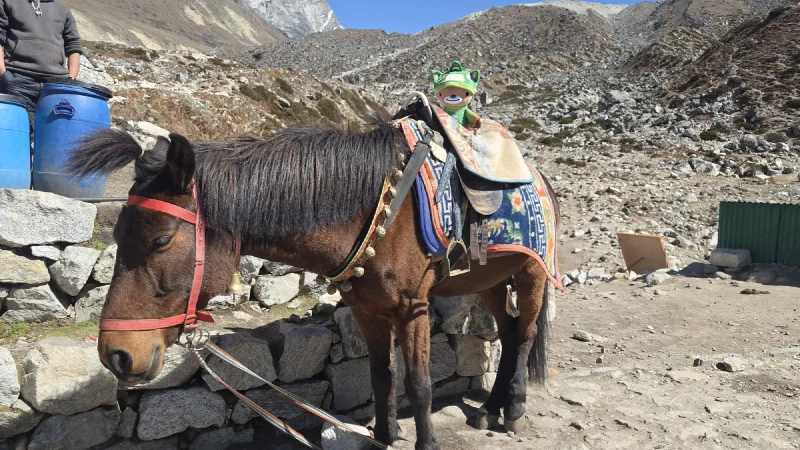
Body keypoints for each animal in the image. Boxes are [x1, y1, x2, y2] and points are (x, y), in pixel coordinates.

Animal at [67, 121, 559, 450]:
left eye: (161, 240)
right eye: (118, 236)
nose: (116, 354)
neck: (380, 212)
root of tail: (541, 179)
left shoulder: (412, 308)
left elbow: (419, 384)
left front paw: (426, 443)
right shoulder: (367, 309)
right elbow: (382, 376)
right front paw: (384, 435)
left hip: (531, 276)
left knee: (525, 333)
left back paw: (513, 410)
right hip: (491, 279)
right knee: (509, 331)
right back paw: (490, 409)